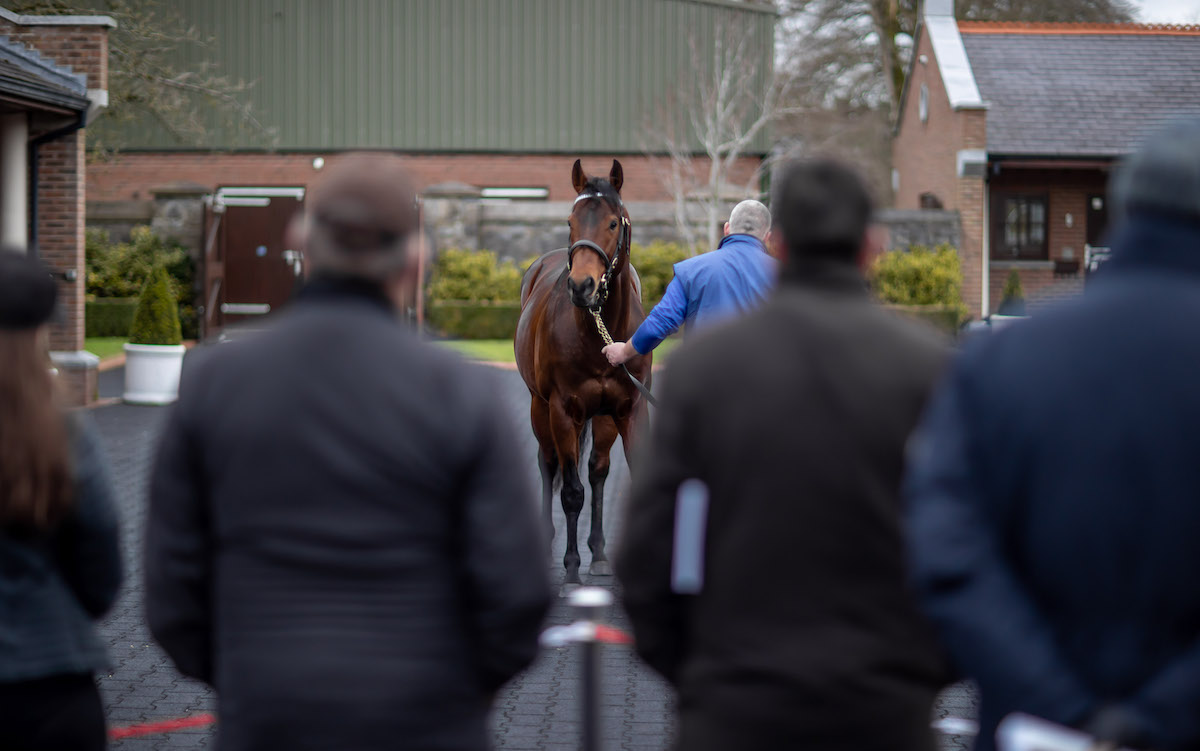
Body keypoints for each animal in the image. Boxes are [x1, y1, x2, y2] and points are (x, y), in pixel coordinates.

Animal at [513, 159, 652, 590]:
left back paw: (600, 554)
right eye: (571, 220)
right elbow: (571, 491)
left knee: (598, 471)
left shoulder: (630, 408)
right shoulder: (563, 411)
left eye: (613, 222)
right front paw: (571, 569)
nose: (581, 285)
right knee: (549, 464)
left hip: (603, 418)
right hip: (539, 408)